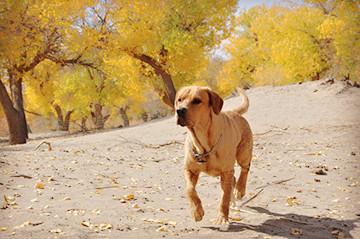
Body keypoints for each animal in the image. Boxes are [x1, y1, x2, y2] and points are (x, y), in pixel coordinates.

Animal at [174, 86, 253, 224]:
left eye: (197, 100)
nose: (179, 111)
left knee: (245, 169)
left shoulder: (226, 171)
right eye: (180, 99)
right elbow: (189, 189)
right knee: (233, 179)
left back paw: (240, 189)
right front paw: (196, 211)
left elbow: (224, 197)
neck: (202, 144)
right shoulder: (190, 170)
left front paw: (222, 217)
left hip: (243, 153)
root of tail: (234, 112)